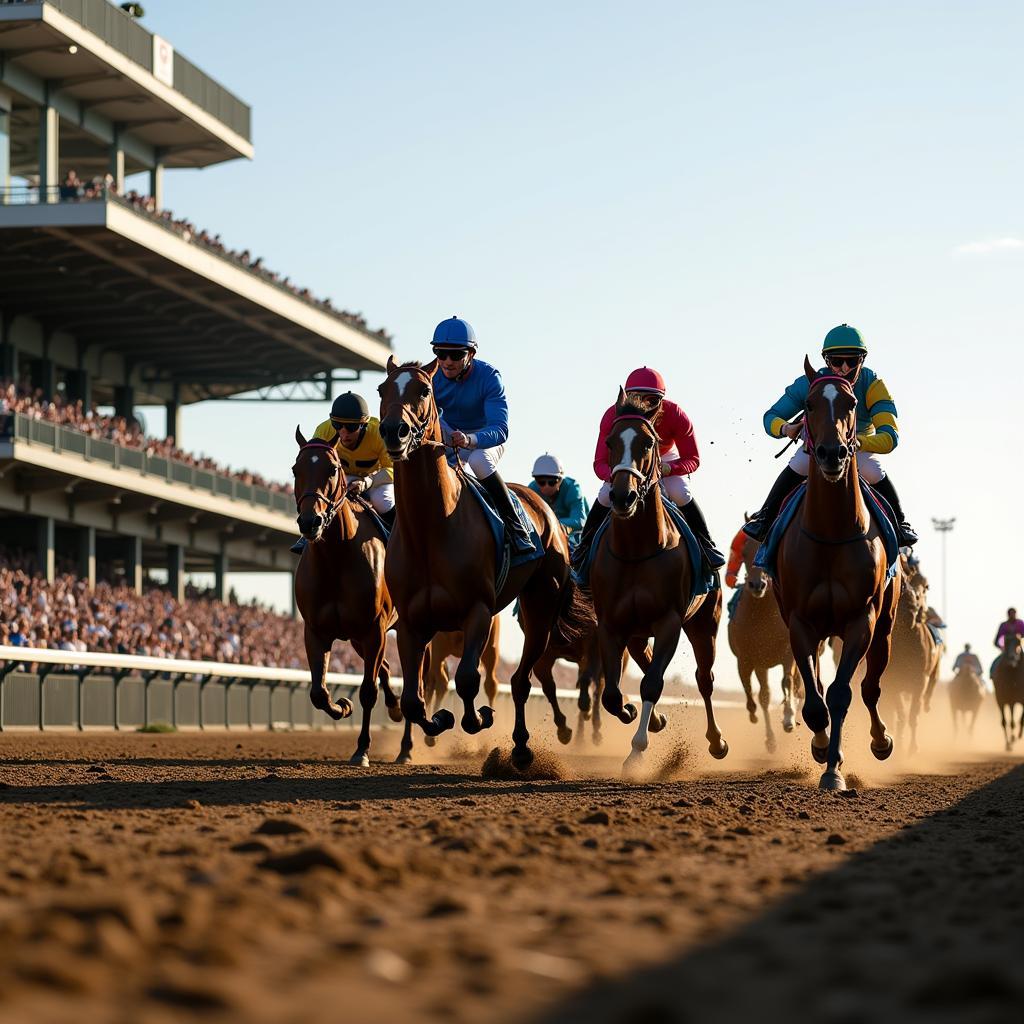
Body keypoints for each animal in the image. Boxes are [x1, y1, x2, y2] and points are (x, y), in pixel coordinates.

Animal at [290, 428, 405, 765]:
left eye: (332, 469)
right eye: (295, 469)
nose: (310, 522)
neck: (336, 557)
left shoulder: (374, 630)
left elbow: (367, 691)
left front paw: (362, 749)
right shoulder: (316, 631)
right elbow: (318, 692)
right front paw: (342, 705)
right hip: (356, 638)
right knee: (386, 669)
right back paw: (396, 709)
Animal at [376, 360, 589, 770]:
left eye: (424, 390)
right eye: (382, 389)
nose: (394, 431)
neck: (431, 528)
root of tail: (549, 514)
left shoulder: (477, 610)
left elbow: (467, 680)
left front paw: (479, 718)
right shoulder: (411, 623)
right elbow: (414, 698)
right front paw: (438, 722)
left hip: (540, 609)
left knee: (521, 679)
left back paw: (521, 747)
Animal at [585, 387, 729, 770]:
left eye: (648, 442)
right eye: (609, 441)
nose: (623, 496)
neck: (637, 549)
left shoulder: (670, 622)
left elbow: (652, 684)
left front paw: (636, 752)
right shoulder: (611, 624)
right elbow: (611, 694)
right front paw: (633, 713)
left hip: (705, 623)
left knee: (704, 679)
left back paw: (717, 741)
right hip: (637, 631)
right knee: (646, 661)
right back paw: (658, 719)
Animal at [724, 528, 802, 753]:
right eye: (744, 552)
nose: (757, 584)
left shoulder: (788, 653)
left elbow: (787, 681)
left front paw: (789, 719)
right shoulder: (748, 659)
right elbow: (757, 695)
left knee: (796, 685)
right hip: (760, 665)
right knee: (763, 695)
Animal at [770, 360, 901, 790]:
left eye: (852, 402)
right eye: (809, 404)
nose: (832, 453)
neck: (830, 531)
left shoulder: (862, 619)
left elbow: (842, 693)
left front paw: (834, 770)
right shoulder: (800, 622)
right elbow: (814, 703)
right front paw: (821, 748)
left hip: (885, 626)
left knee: (871, 687)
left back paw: (881, 740)